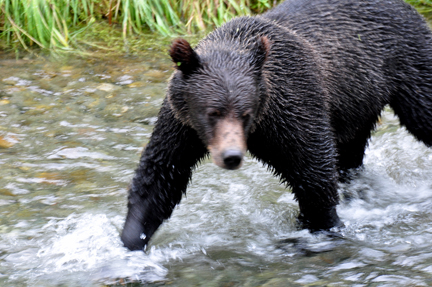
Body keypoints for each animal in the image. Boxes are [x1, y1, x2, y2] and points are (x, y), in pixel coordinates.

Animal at [120, 0, 432, 251]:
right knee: (350, 152)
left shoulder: (294, 106)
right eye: (212, 112)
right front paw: (130, 242)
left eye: (244, 113)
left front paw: (322, 227)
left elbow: (314, 172)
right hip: (357, 102)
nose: (231, 156)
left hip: (407, 64)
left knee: (424, 112)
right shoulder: (182, 125)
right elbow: (162, 173)